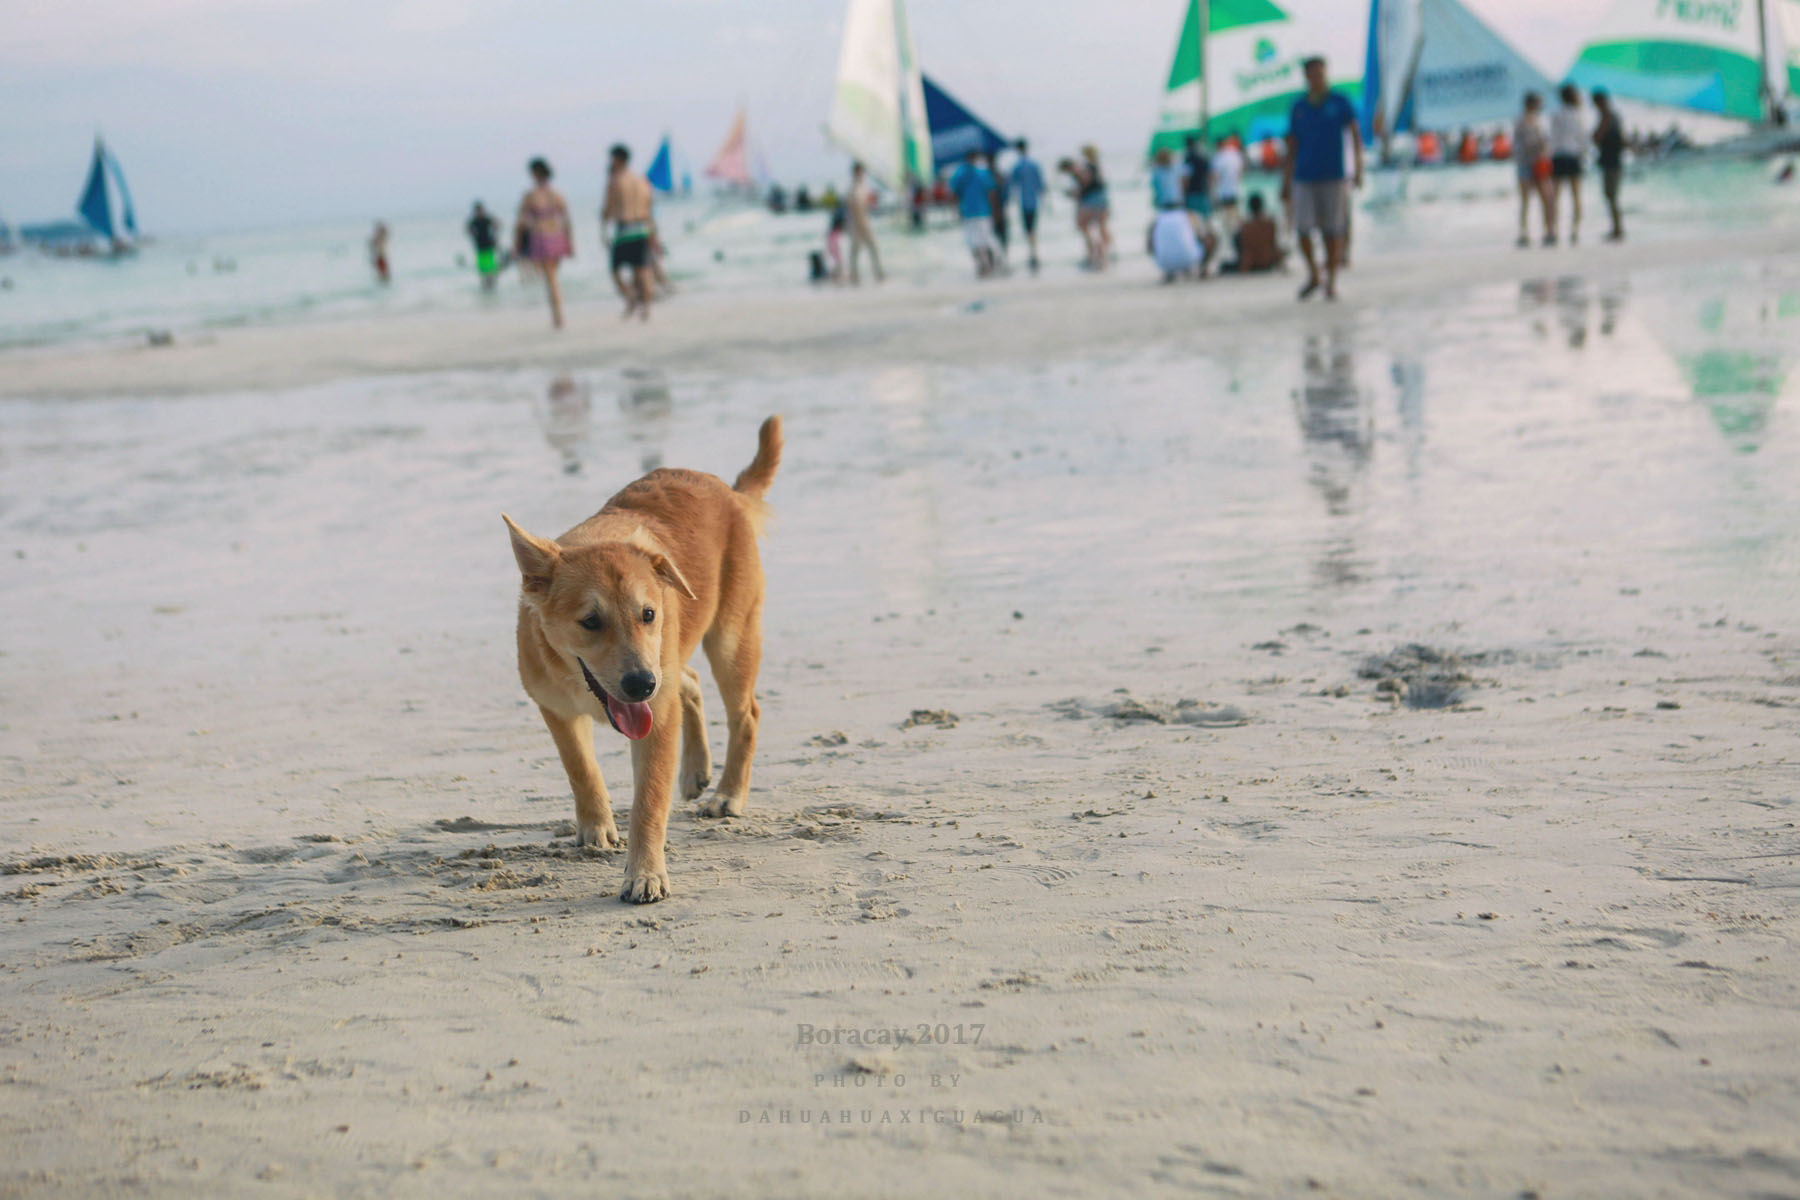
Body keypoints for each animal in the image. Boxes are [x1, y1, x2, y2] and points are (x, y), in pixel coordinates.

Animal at [507, 417, 788, 906]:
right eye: (590, 621)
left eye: (648, 614)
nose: (640, 684)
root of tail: (727, 490)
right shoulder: (556, 709)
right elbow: (581, 769)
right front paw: (596, 826)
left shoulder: (655, 713)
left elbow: (649, 803)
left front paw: (644, 874)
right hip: (676, 660)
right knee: (689, 681)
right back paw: (696, 771)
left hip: (729, 640)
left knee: (746, 714)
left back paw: (728, 794)